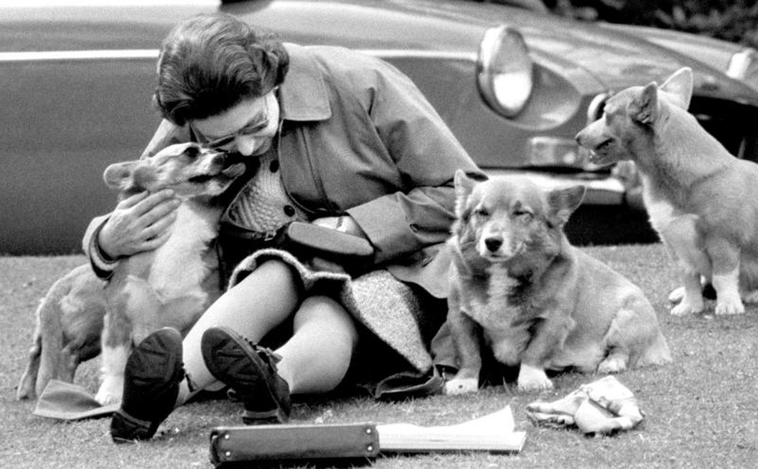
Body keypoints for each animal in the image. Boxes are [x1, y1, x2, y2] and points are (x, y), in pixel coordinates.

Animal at [16, 144, 245, 402]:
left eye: (218, 148)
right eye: (190, 152)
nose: (229, 154)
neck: (179, 232)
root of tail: (62, 284)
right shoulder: (118, 318)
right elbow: (116, 363)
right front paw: (110, 395)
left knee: (54, 353)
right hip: (92, 323)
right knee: (56, 352)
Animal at [446, 170, 672, 394]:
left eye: (521, 213)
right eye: (481, 212)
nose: (492, 242)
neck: (502, 274)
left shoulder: (554, 319)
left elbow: (535, 351)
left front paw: (532, 379)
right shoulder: (460, 317)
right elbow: (469, 354)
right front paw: (464, 382)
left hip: (629, 317)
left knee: (622, 350)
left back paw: (611, 363)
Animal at [580, 66, 758, 314]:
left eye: (606, 114)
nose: (577, 137)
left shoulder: (722, 240)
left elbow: (723, 277)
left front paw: (728, 306)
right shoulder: (677, 247)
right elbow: (690, 279)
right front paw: (689, 307)